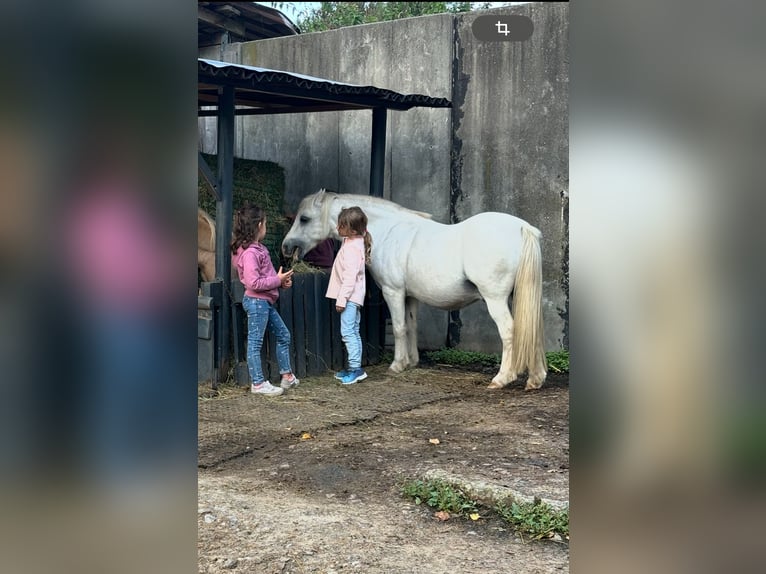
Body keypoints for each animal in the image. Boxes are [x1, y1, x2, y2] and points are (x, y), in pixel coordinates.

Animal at [282, 190, 544, 392]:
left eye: (304, 219)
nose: (286, 246)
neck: (388, 232)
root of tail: (523, 228)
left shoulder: (393, 292)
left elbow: (399, 328)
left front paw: (397, 365)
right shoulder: (410, 297)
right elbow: (411, 326)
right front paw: (411, 362)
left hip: (495, 299)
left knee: (509, 331)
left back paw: (502, 378)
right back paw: (535, 379)